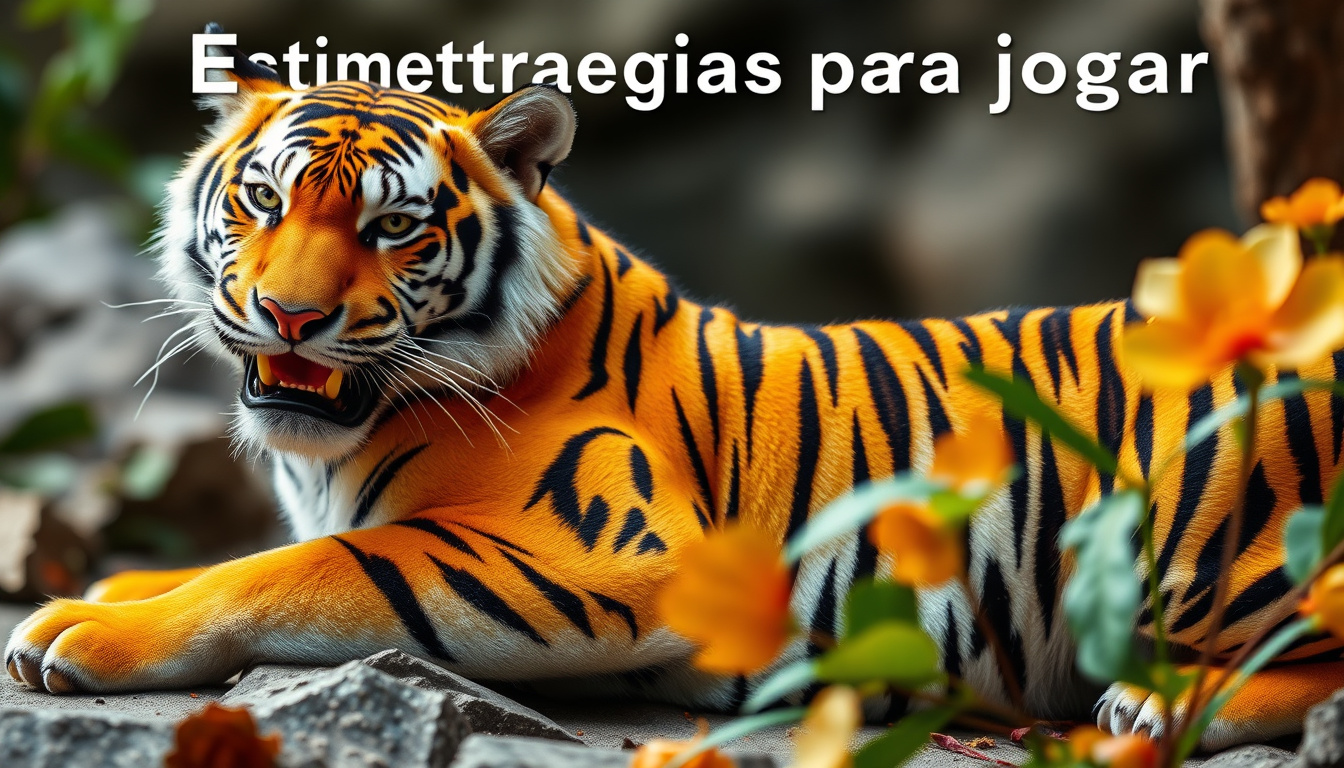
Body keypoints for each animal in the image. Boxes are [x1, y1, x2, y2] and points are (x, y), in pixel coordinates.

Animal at [6, 26, 1343, 752]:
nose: (290, 316)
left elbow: (293, 569)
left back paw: (1149, 712)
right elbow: (231, 555)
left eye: (391, 228)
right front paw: (100, 588)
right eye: (264, 201)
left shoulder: (594, 552)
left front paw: (79, 631)